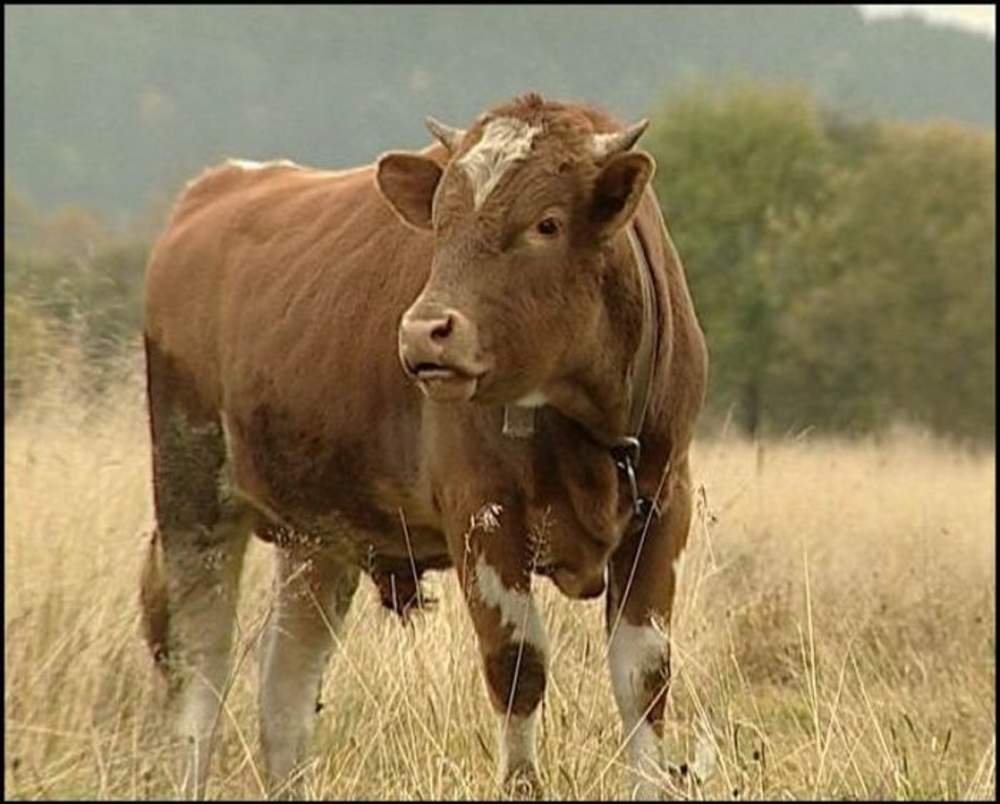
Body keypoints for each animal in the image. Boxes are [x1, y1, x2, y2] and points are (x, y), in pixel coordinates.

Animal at [139, 92, 712, 796]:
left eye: (547, 223)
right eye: (440, 224)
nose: (423, 331)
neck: (590, 424)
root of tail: (217, 187)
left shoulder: (663, 511)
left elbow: (644, 680)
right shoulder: (483, 520)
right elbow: (517, 672)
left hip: (317, 537)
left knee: (285, 693)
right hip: (192, 499)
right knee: (201, 686)